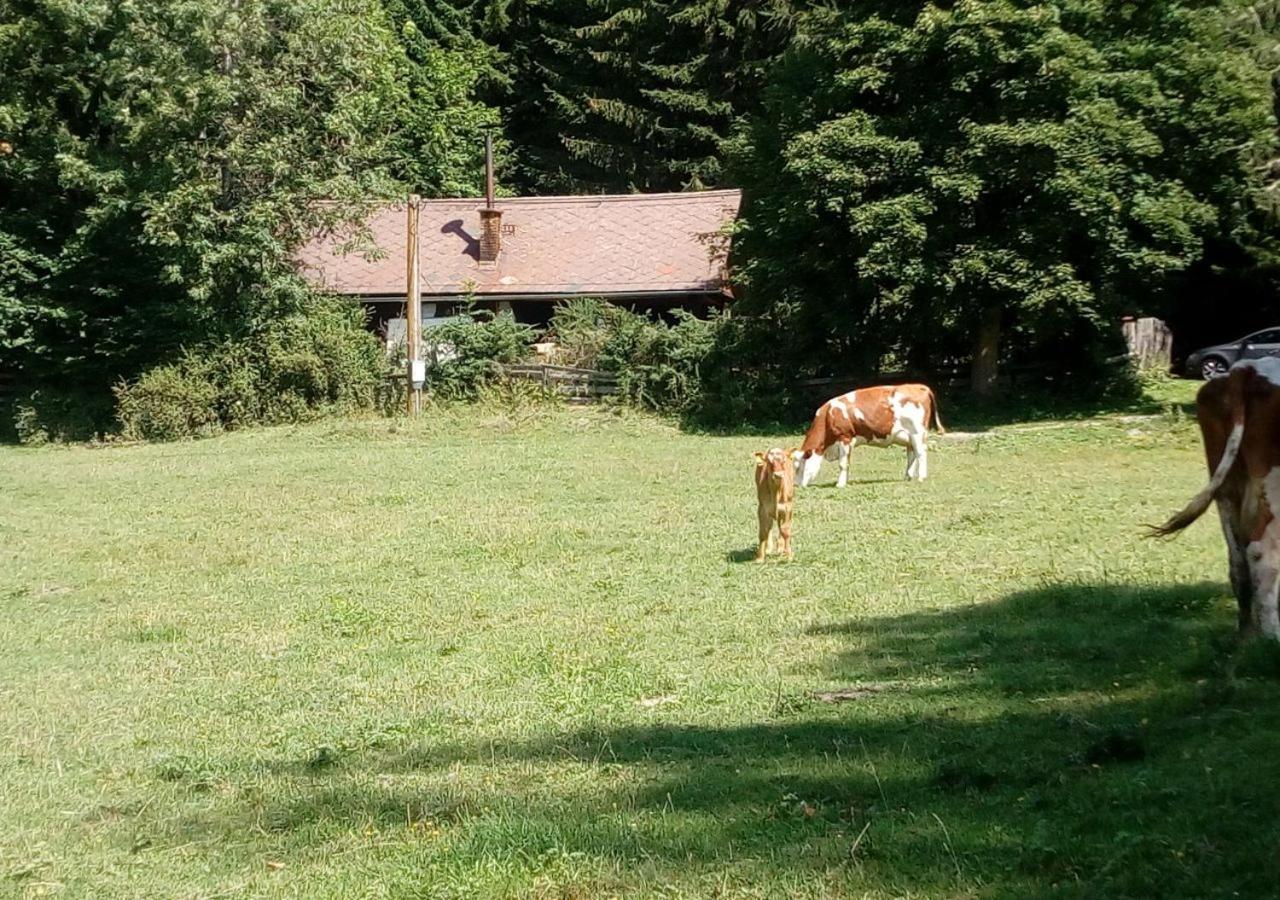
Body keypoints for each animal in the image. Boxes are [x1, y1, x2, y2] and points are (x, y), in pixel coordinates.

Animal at [793, 384, 947, 489]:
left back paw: (921, 477)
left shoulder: (845, 437)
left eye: (799, 467)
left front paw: (840, 484)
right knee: (912, 455)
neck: (828, 416)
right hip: (909, 436)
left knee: (921, 454)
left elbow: (842, 464)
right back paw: (908, 476)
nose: (796, 485)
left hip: (917, 433)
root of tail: (918, 386)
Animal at [1157, 358, 1280, 640]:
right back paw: (1271, 636)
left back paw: (1248, 636)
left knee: (1238, 560)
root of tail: (1247, 367)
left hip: (1226, 487)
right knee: (1262, 552)